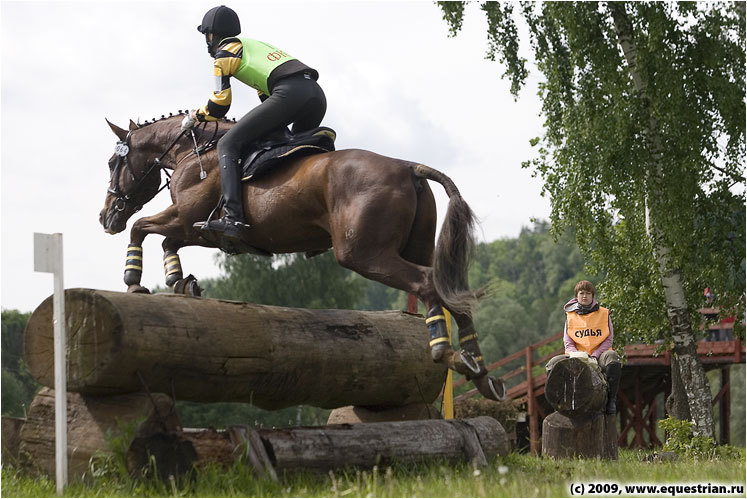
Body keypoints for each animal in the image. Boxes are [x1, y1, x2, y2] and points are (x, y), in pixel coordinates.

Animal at [99, 114, 506, 402]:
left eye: (111, 164)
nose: (106, 217)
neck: (194, 152)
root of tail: (409, 167)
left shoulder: (188, 219)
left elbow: (142, 229)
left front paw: (134, 284)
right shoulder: (198, 229)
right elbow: (166, 242)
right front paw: (182, 283)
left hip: (364, 254)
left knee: (425, 284)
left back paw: (446, 355)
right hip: (412, 248)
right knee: (450, 292)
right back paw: (479, 371)